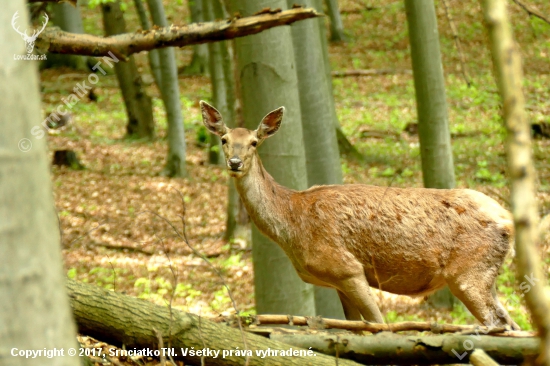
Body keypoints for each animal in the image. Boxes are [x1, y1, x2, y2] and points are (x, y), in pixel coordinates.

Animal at [202, 101, 520, 332]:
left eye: (254, 142)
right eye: (224, 139)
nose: (235, 162)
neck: (292, 223)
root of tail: (508, 219)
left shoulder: (347, 268)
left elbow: (380, 326)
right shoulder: (338, 282)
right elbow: (356, 327)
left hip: (469, 272)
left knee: (501, 325)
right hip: (486, 276)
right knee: (512, 323)